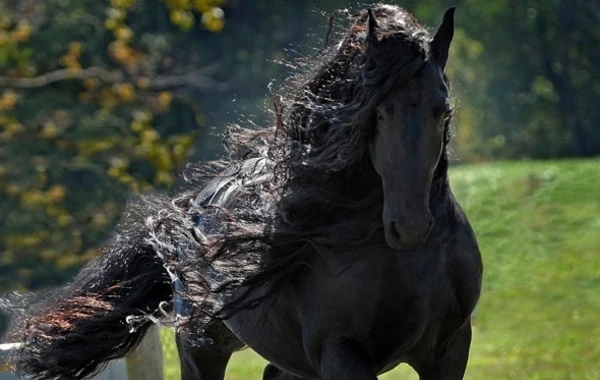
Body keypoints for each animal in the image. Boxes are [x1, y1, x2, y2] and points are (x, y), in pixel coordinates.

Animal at [4, 5, 482, 380]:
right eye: (379, 113)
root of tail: (192, 209)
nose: (410, 226)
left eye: (443, 111)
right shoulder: (342, 354)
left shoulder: (449, 348)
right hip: (203, 348)